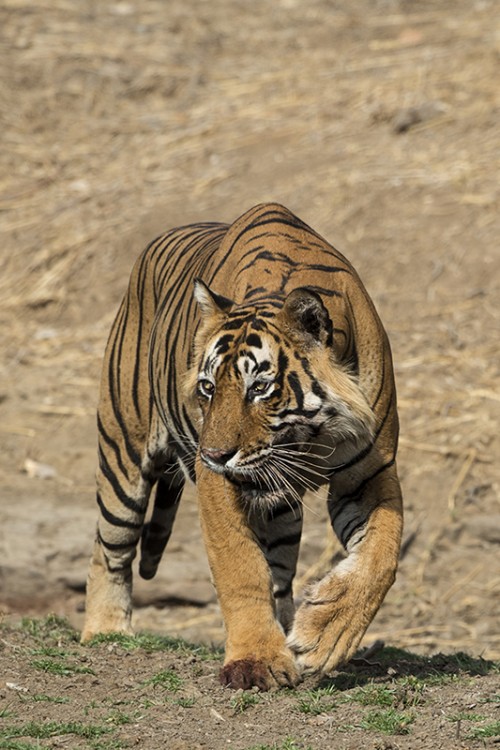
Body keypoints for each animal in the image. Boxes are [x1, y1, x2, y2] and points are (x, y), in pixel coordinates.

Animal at [81, 201, 402, 692]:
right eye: (208, 387)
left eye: (259, 388)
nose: (214, 455)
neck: (312, 437)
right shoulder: (218, 484)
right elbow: (240, 567)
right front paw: (256, 661)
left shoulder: (371, 471)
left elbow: (383, 554)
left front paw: (324, 635)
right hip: (123, 451)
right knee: (110, 547)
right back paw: (105, 633)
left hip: (281, 514)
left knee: (280, 573)